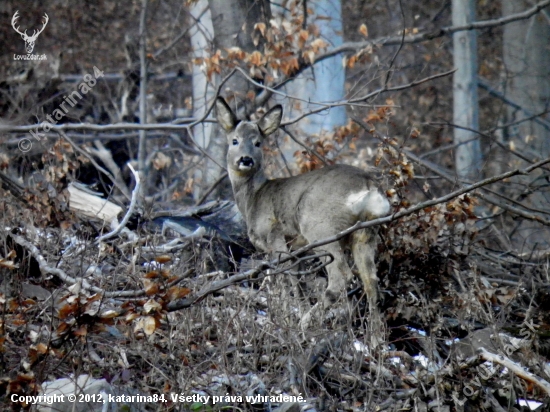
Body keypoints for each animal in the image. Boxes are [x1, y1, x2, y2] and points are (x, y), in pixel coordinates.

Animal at [217, 96, 392, 332]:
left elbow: (282, 280)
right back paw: (375, 339)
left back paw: (306, 323)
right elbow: (297, 284)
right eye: (234, 141)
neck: (254, 199)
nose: (245, 159)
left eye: (258, 142)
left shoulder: (275, 238)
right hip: (365, 234)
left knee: (341, 276)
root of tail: (369, 186)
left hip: (320, 227)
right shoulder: (296, 251)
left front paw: (284, 318)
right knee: (371, 282)